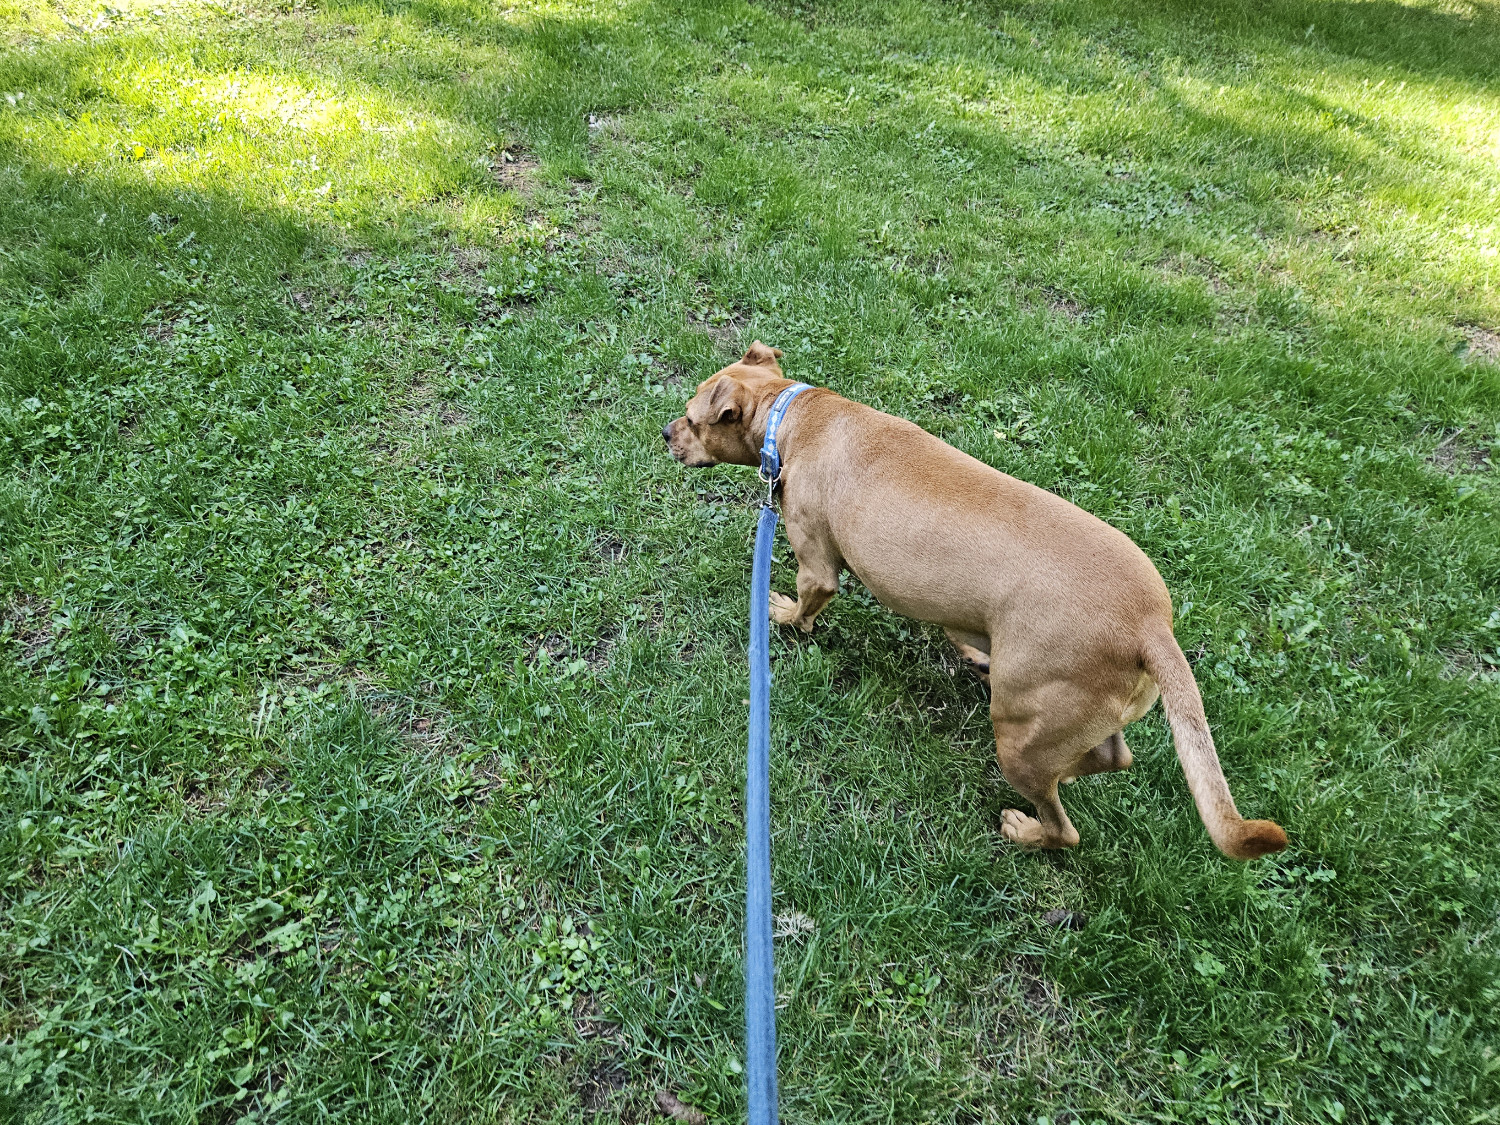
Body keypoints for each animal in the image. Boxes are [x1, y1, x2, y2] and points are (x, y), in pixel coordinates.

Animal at [669, 343, 1290, 864]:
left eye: (693, 418)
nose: (665, 431)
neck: (793, 416)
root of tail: (1150, 625)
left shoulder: (818, 567)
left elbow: (805, 608)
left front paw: (781, 616)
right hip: (1065, 716)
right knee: (1111, 757)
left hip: (1018, 735)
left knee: (1064, 826)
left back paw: (1027, 830)